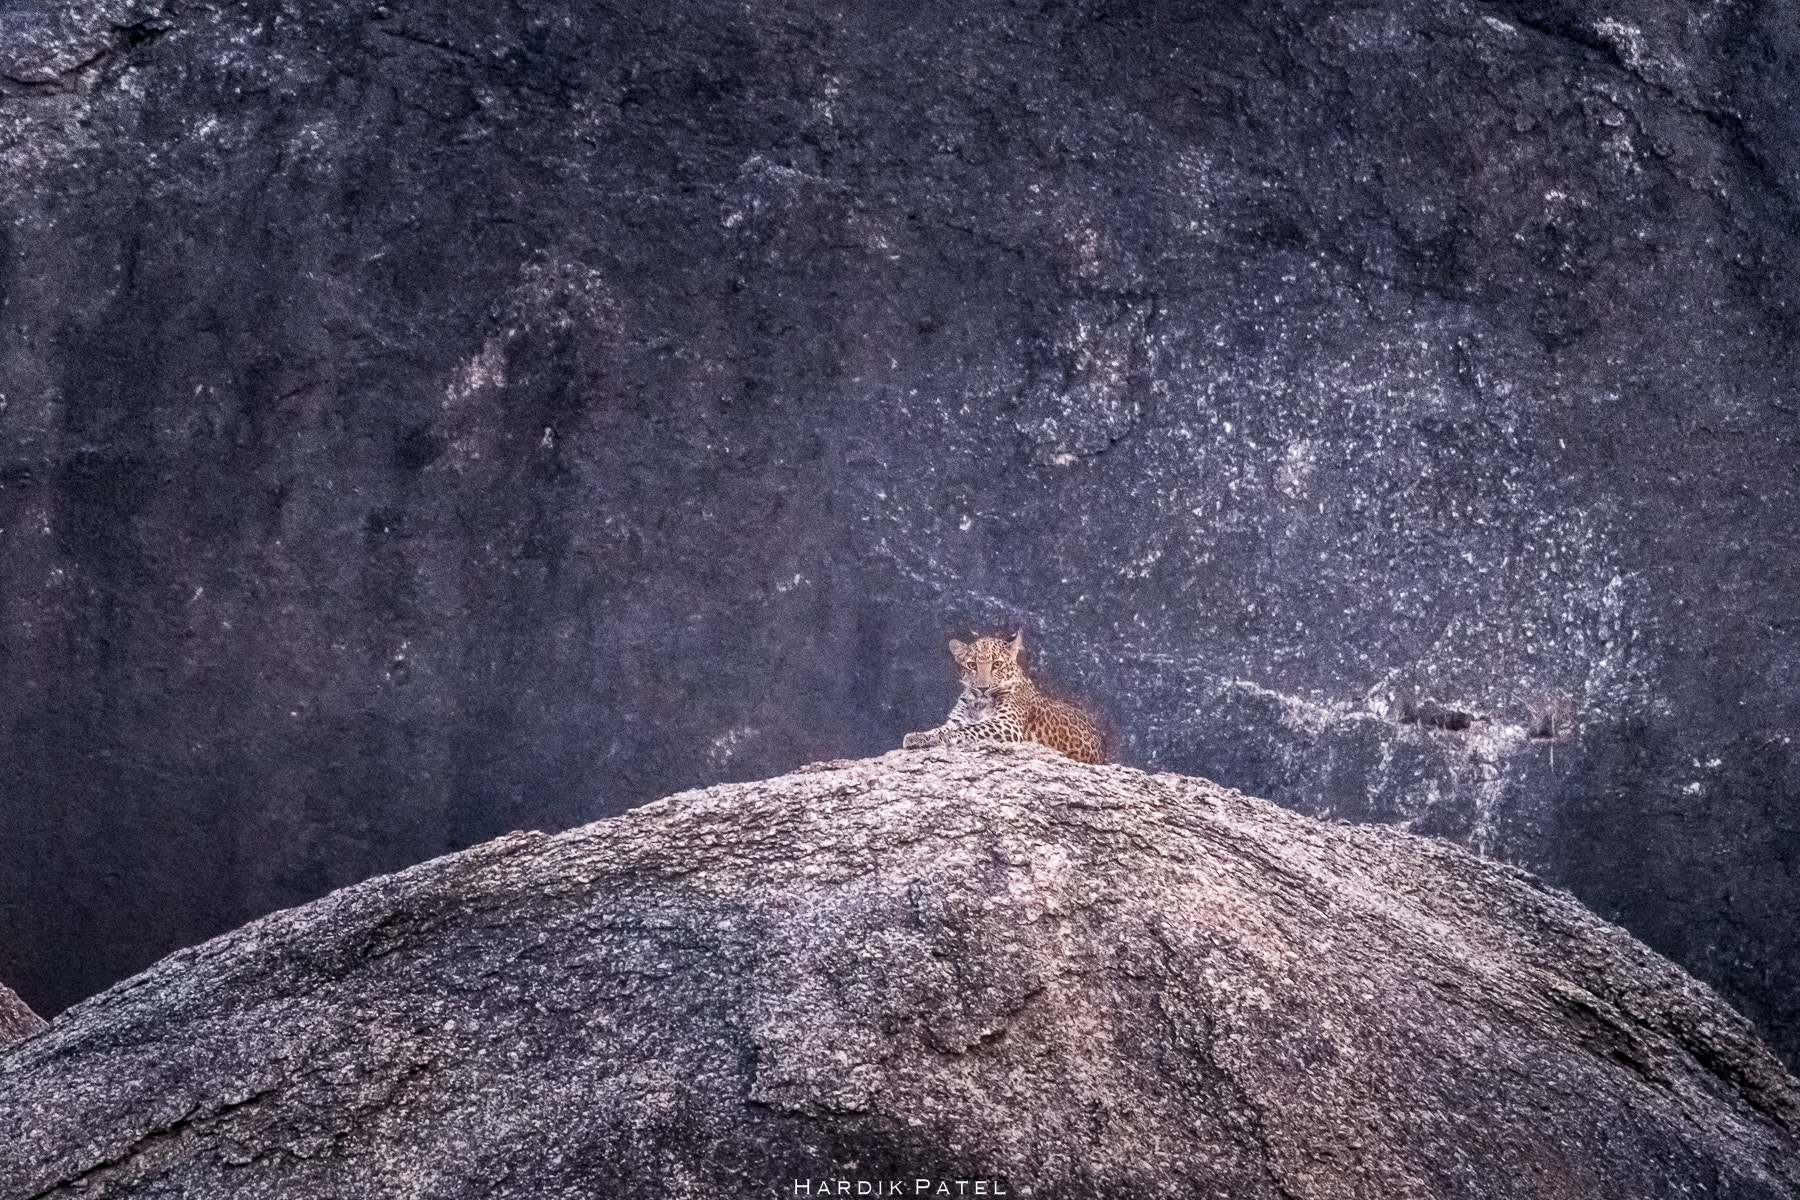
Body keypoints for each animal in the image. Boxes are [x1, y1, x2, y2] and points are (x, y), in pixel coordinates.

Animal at [902, 632, 1107, 764]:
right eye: (972, 665)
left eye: (997, 664)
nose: (983, 688)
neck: (979, 703)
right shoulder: (957, 720)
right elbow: (941, 729)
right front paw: (918, 736)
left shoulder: (1006, 723)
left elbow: (970, 729)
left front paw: (940, 738)